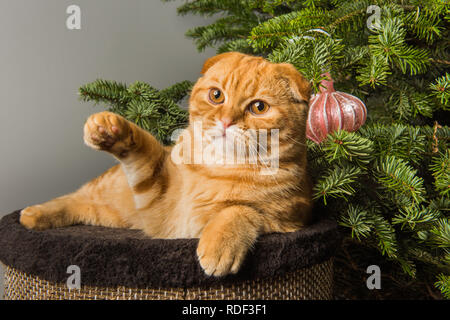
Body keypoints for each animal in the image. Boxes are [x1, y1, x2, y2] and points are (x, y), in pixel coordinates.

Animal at [19, 52, 312, 276]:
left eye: (259, 108)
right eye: (216, 96)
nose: (226, 121)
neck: (217, 168)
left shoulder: (286, 220)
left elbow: (239, 210)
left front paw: (220, 244)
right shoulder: (155, 198)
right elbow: (145, 147)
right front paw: (114, 131)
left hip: (107, 214)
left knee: (80, 204)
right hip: (108, 192)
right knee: (73, 196)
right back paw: (33, 213)